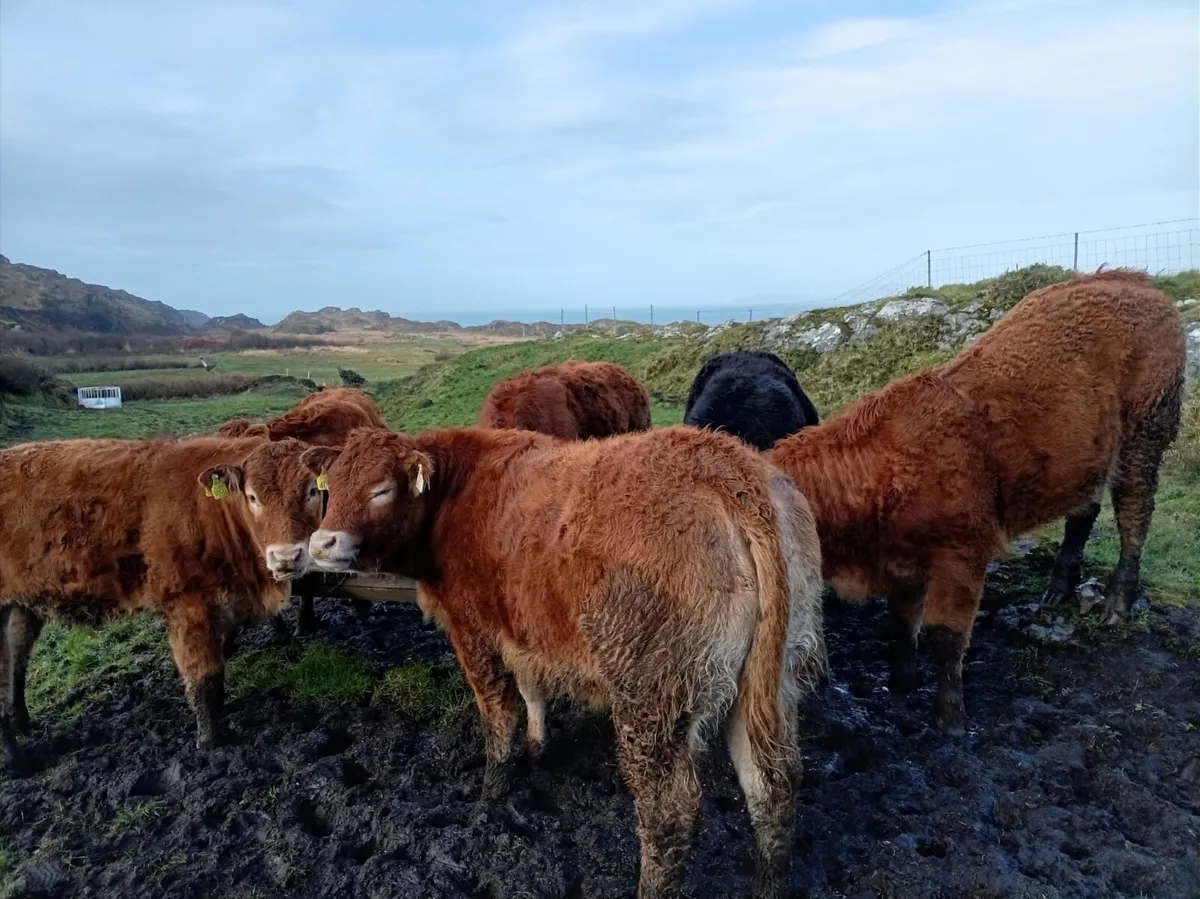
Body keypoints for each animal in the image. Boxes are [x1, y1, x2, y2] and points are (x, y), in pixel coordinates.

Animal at [0, 435, 324, 773]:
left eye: (311, 491)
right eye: (252, 497)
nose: (286, 557)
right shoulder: (188, 607)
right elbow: (206, 678)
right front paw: (211, 741)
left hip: (22, 605)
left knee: (17, 658)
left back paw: (22, 723)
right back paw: (17, 760)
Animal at [300, 424, 826, 899]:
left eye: (381, 490)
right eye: (331, 486)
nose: (322, 544)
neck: (459, 494)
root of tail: (727, 467)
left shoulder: (475, 633)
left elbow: (498, 714)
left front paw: (493, 790)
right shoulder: (526, 632)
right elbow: (532, 689)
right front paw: (537, 746)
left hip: (652, 696)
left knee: (668, 808)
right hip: (773, 680)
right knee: (772, 785)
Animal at [766, 270, 1186, 734]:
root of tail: (1135, 280)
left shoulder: (962, 554)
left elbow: (946, 635)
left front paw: (949, 717)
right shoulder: (902, 561)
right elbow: (902, 620)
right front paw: (902, 682)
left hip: (1147, 431)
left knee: (1135, 514)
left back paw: (1117, 604)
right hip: (1087, 456)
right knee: (1084, 512)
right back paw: (1058, 588)